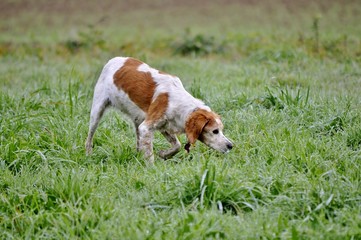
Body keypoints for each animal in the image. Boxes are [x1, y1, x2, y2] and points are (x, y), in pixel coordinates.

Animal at [85, 57, 233, 162]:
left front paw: (164, 154)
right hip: (97, 112)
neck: (177, 101)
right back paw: (88, 155)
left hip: (138, 121)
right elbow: (150, 155)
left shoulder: (164, 126)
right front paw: (151, 168)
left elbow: (177, 145)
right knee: (89, 138)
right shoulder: (147, 127)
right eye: (215, 131)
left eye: (221, 130)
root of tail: (113, 60)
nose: (230, 145)